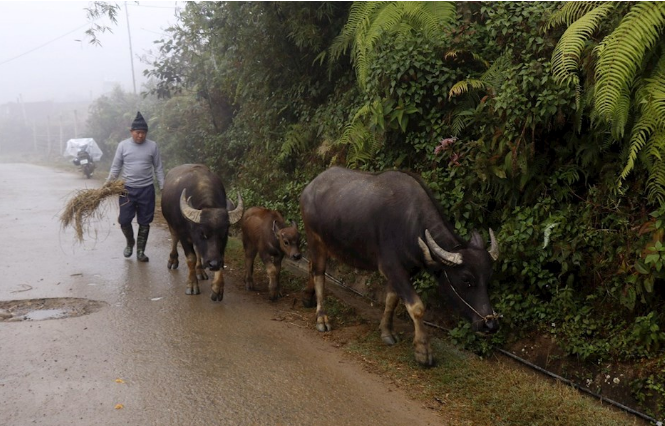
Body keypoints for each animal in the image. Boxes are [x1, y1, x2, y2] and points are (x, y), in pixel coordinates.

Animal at [160, 163, 243, 300]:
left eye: (223, 234)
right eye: (203, 233)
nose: (213, 264)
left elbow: (220, 257)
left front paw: (217, 287)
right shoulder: (184, 235)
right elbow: (191, 258)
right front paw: (192, 285)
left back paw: (200, 270)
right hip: (170, 223)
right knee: (174, 238)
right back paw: (173, 261)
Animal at [300, 166, 498, 366]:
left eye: (489, 278)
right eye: (466, 279)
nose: (489, 324)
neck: (411, 225)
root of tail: (310, 187)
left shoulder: (405, 271)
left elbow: (392, 299)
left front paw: (387, 331)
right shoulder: (391, 268)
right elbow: (417, 307)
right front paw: (422, 350)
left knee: (311, 266)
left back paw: (308, 298)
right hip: (314, 239)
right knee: (319, 273)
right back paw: (321, 318)